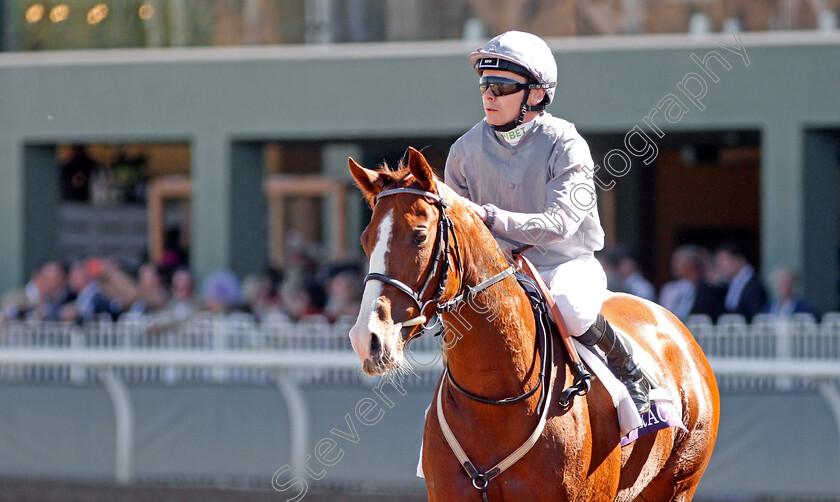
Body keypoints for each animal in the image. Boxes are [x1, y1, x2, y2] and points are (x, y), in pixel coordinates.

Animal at [348, 148, 720, 502]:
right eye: (365, 240)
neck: (494, 403)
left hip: (678, 483)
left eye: (419, 236)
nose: (368, 337)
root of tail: (674, 325)